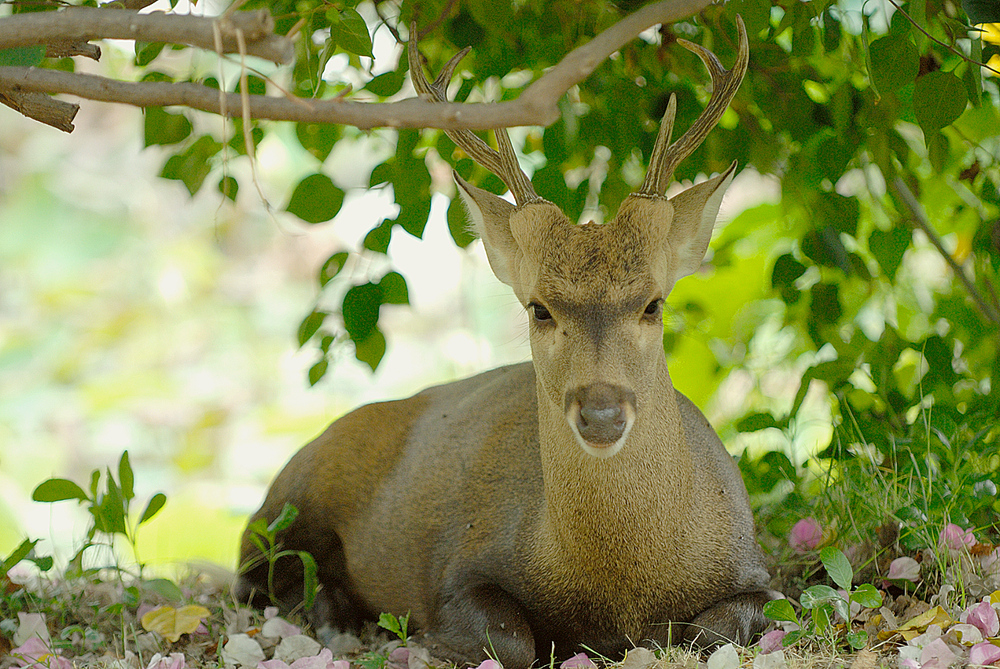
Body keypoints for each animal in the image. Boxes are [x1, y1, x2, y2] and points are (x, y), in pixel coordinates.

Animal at [236, 17, 780, 668]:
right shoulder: (462, 568)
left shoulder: (758, 572)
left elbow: (712, 628)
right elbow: (514, 641)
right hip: (286, 504)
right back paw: (336, 616)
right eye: (539, 308)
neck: (621, 586)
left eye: (653, 303)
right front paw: (424, 639)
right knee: (253, 574)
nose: (601, 413)